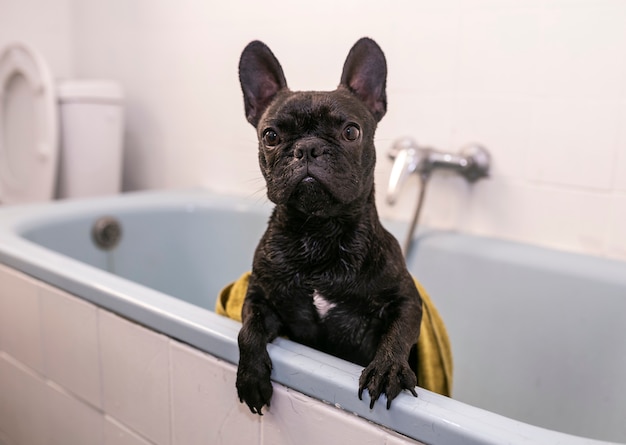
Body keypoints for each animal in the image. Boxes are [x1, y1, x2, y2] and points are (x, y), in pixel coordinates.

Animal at [236, 37, 422, 412]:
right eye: (270, 136)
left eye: (351, 131)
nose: (308, 148)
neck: (318, 231)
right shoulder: (261, 298)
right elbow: (247, 329)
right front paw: (250, 375)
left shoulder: (407, 300)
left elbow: (399, 331)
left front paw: (388, 368)